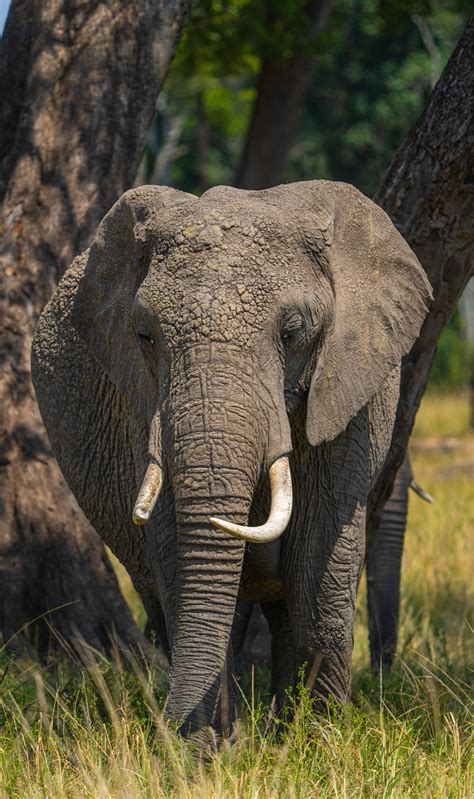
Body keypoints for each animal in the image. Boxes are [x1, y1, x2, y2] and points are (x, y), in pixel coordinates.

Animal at [31, 180, 432, 738]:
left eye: (292, 333)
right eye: (144, 336)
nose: (163, 729)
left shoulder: (352, 389)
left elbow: (319, 556)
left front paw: (320, 743)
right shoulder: (142, 404)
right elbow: (177, 549)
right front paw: (210, 750)